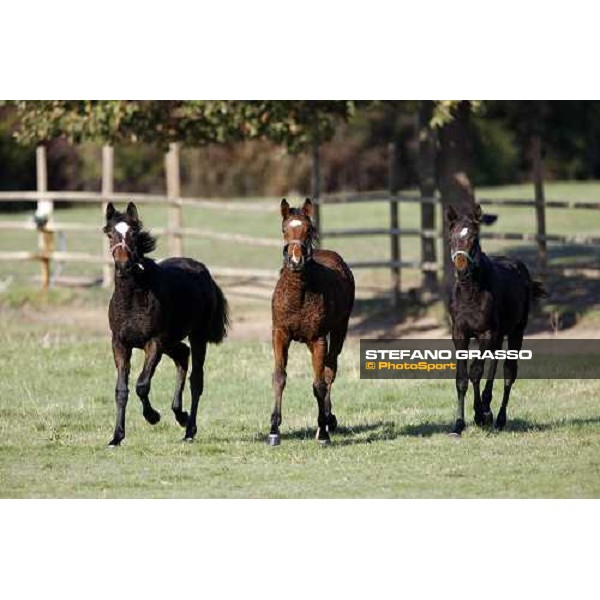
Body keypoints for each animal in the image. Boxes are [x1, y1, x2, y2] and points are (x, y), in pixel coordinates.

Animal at [446, 204, 548, 434]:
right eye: (451, 238)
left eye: (474, 238)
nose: (461, 268)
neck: (470, 291)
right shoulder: (460, 333)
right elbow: (462, 379)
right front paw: (459, 423)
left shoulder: (486, 332)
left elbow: (476, 371)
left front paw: (480, 414)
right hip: (498, 335)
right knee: (494, 361)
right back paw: (487, 408)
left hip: (516, 331)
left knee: (509, 371)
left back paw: (498, 418)